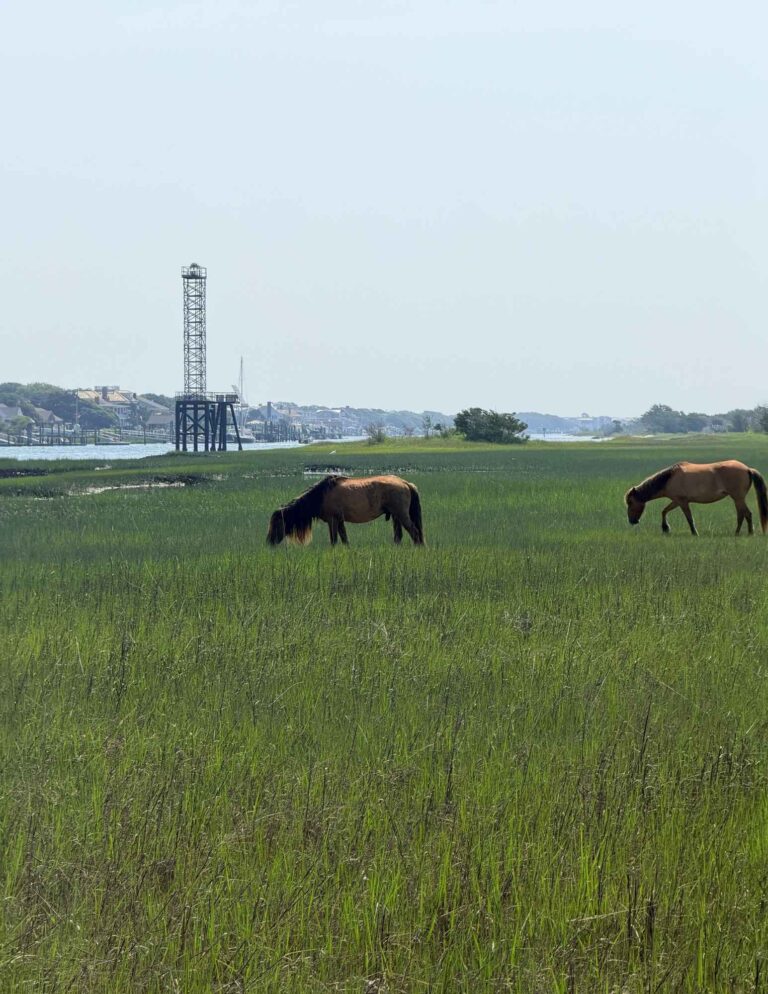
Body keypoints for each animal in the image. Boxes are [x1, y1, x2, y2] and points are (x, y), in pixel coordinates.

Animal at [267, 474, 425, 546]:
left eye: (277, 524)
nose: (269, 542)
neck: (321, 495)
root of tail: (405, 483)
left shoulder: (332, 521)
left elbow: (334, 541)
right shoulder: (340, 521)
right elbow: (345, 540)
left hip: (401, 515)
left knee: (415, 532)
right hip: (395, 516)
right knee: (399, 536)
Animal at [624, 460, 768, 536]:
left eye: (630, 502)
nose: (632, 521)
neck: (670, 478)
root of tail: (747, 469)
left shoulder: (682, 502)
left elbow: (689, 518)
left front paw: (694, 533)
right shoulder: (676, 501)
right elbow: (664, 511)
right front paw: (666, 528)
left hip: (738, 498)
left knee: (746, 514)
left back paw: (746, 533)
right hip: (737, 499)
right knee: (743, 514)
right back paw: (740, 533)